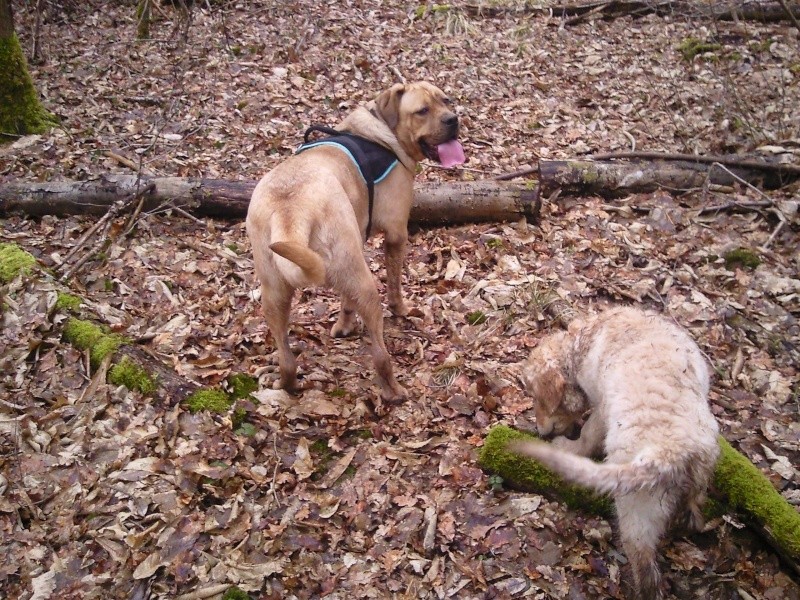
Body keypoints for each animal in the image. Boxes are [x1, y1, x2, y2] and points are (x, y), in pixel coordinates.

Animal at [247, 82, 466, 410]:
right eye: (422, 111)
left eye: (446, 100)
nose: (453, 120)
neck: (382, 132)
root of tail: (291, 208)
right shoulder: (396, 235)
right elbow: (395, 285)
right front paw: (402, 309)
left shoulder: (355, 247)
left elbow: (345, 300)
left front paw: (344, 325)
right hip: (365, 286)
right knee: (380, 355)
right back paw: (393, 391)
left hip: (274, 293)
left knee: (286, 359)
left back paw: (288, 385)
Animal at [510, 308, 720, 596]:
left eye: (535, 396)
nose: (540, 432)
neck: (581, 341)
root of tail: (672, 453)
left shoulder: (601, 407)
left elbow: (588, 435)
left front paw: (569, 446)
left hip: (636, 509)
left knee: (646, 570)